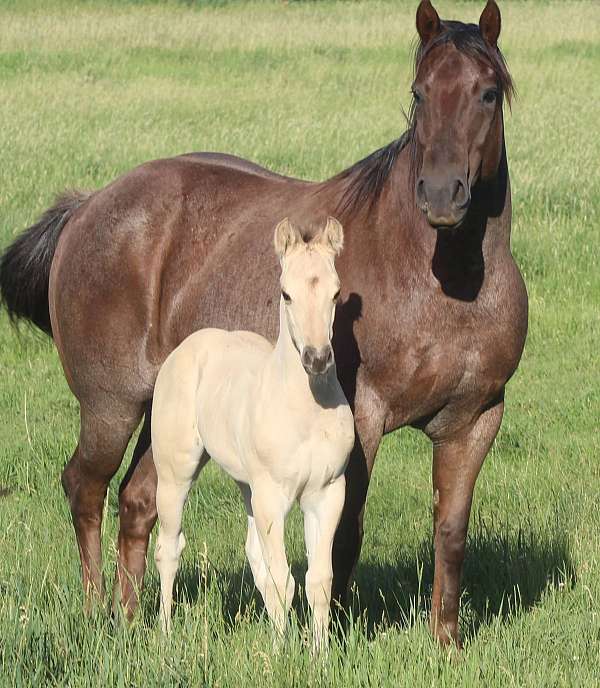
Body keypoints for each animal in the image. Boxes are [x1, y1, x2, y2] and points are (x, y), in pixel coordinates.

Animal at [153, 217, 354, 650]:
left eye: (335, 291)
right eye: (286, 293)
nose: (316, 358)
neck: (305, 410)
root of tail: (188, 346)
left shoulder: (327, 493)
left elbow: (318, 580)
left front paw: (320, 653)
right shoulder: (272, 497)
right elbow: (282, 580)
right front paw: (280, 653)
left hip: (247, 487)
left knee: (255, 556)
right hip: (176, 474)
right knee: (168, 548)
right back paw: (165, 631)